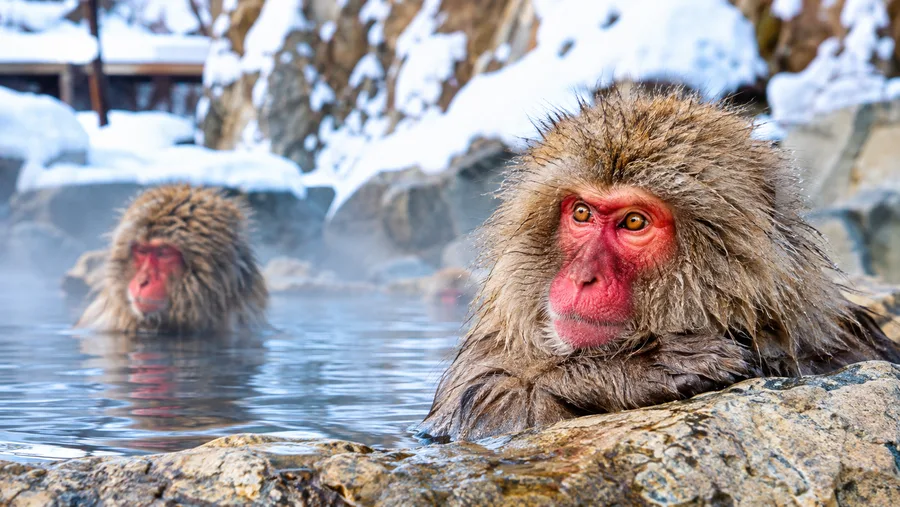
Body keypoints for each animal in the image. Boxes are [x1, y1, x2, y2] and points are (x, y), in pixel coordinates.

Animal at [418, 85, 900, 442]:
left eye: (634, 221)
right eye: (581, 213)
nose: (581, 277)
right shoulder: (490, 352)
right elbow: (486, 406)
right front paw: (642, 367)